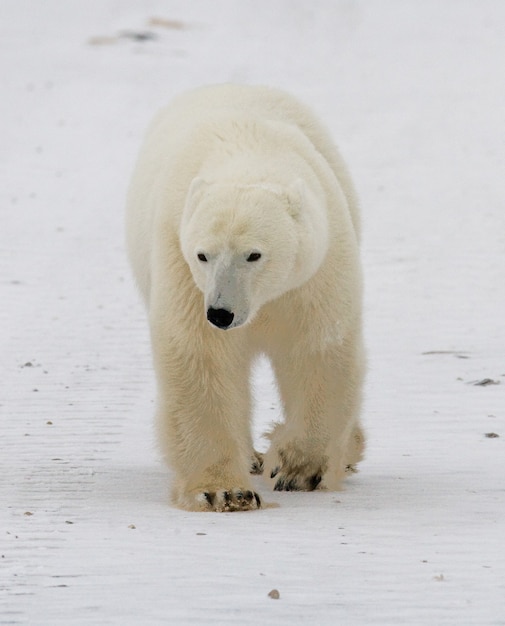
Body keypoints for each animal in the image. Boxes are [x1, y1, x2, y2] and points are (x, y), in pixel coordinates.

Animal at [125, 83, 362, 510]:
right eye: (203, 254)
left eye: (254, 254)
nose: (221, 313)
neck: (247, 153)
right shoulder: (181, 262)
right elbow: (202, 357)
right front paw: (223, 490)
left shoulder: (315, 269)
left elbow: (317, 349)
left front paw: (295, 467)